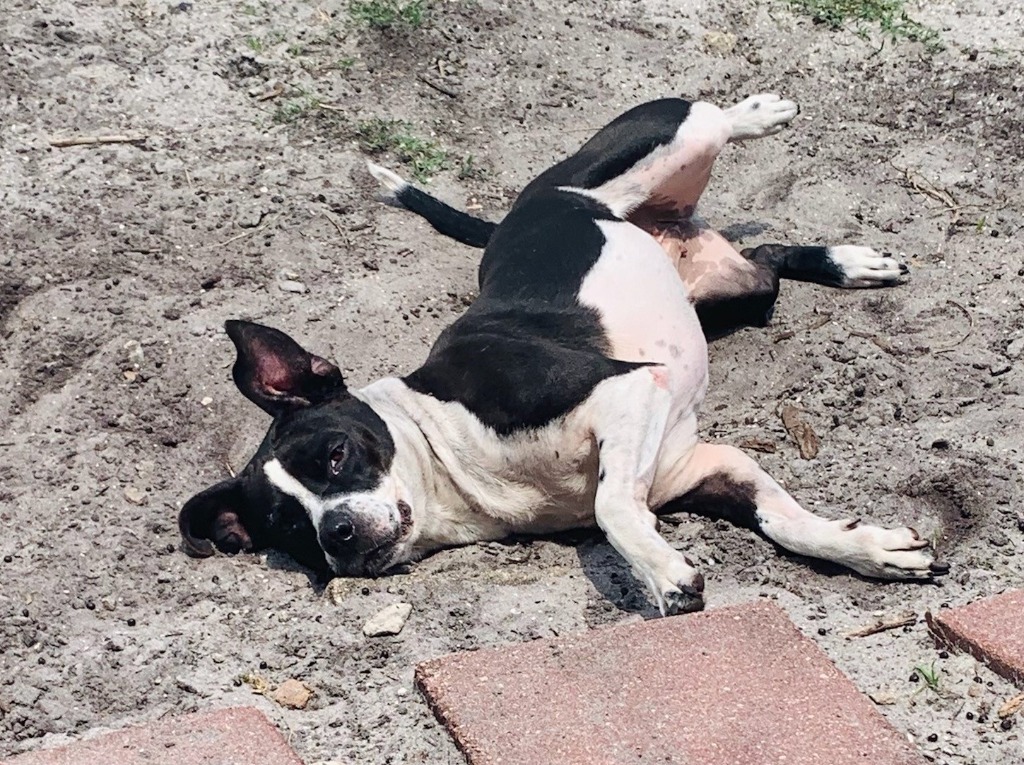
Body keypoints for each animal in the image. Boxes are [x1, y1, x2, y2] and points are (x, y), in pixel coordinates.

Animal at [180, 94, 946, 614]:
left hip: (660, 146)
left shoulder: (627, 390)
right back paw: (850, 263)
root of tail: (524, 206)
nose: (336, 531)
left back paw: (760, 113)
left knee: (709, 116)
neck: (447, 450)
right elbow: (787, 522)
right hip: (735, 293)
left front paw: (662, 571)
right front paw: (871, 550)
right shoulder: (707, 464)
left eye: (335, 455)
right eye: (287, 526)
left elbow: (612, 504)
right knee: (767, 261)